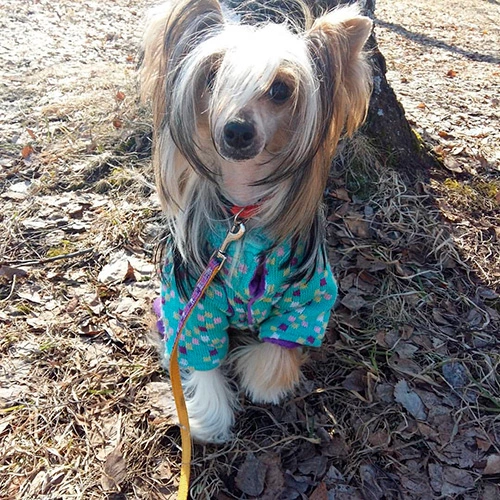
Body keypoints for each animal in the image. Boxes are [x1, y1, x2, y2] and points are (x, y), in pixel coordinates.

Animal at [142, 0, 372, 443]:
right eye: (212, 77)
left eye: (281, 89)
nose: (236, 130)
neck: (241, 219)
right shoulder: (192, 305)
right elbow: (203, 360)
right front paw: (209, 419)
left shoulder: (306, 299)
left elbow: (278, 349)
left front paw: (263, 384)